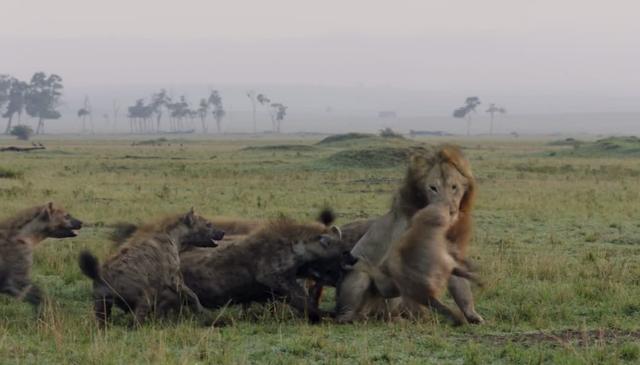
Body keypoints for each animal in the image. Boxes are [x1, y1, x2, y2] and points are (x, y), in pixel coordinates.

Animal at [78, 209, 225, 326]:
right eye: (209, 224)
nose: (222, 232)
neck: (174, 237)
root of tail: (99, 276)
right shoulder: (172, 275)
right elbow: (191, 293)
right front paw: (203, 311)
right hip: (143, 293)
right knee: (138, 316)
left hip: (100, 301)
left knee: (101, 319)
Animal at [336, 144, 480, 322]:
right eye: (433, 188)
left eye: (454, 187)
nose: (450, 211)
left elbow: (461, 288)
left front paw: (472, 315)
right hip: (358, 275)